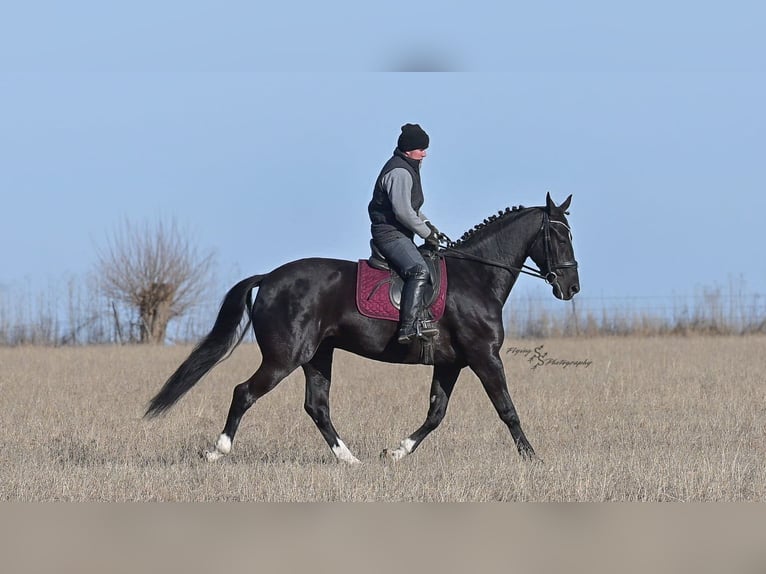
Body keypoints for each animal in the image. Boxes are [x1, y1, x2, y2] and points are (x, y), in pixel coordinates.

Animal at [145, 193, 580, 464]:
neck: (476, 277)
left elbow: (436, 413)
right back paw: (217, 450)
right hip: (285, 356)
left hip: (317, 355)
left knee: (316, 406)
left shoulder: (451, 363)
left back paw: (350, 459)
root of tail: (268, 278)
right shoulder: (484, 356)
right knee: (245, 392)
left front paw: (396, 452)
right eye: (558, 235)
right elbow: (507, 409)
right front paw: (533, 458)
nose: (571, 287)